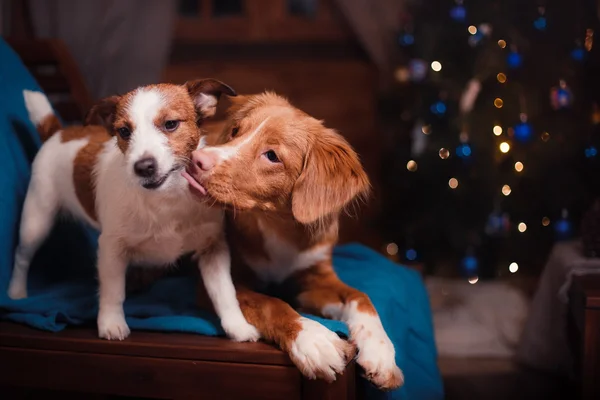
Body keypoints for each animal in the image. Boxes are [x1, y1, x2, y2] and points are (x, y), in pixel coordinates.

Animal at [8, 80, 258, 344]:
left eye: (170, 124)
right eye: (124, 131)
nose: (143, 167)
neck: (166, 199)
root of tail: (59, 133)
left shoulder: (213, 249)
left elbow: (225, 292)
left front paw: (238, 326)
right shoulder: (111, 249)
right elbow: (112, 291)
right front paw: (111, 323)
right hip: (37, 220)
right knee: (22, 256)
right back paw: (16, 293)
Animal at [185, 92, 406, 390]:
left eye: (272, 156)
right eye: (235, 131)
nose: (196, 159)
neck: (278, 225)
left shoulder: (316, 278)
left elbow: (360, 296)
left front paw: (381, 352)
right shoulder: (221, 283)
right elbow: (270, 303)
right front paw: (313, 338)